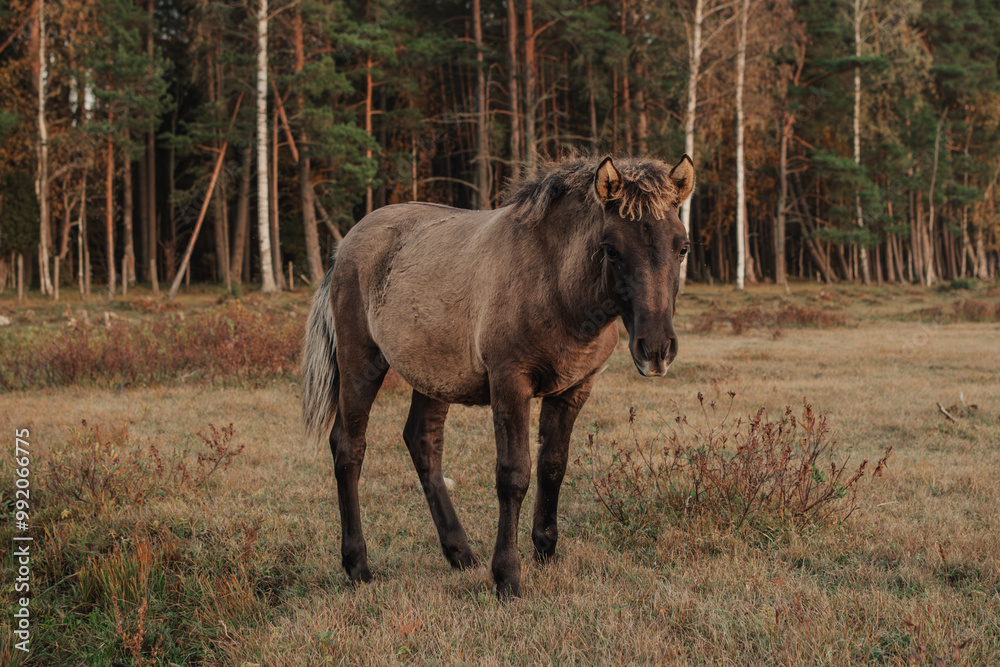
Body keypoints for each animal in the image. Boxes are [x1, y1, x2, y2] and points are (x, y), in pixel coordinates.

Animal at [301, 155, 694, 598]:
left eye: (682, 247)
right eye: (611, 248)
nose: (656, 350)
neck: (555, 284)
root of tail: (346, 245)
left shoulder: (574, 389)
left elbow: (553, 466)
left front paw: (545, 551)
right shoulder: (510, 382)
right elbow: (514, 474)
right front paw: (507, 575)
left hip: (433, 375)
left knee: (423, 443)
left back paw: (460, 554)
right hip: (360, 363)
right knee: (349, 447)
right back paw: (358, 565)